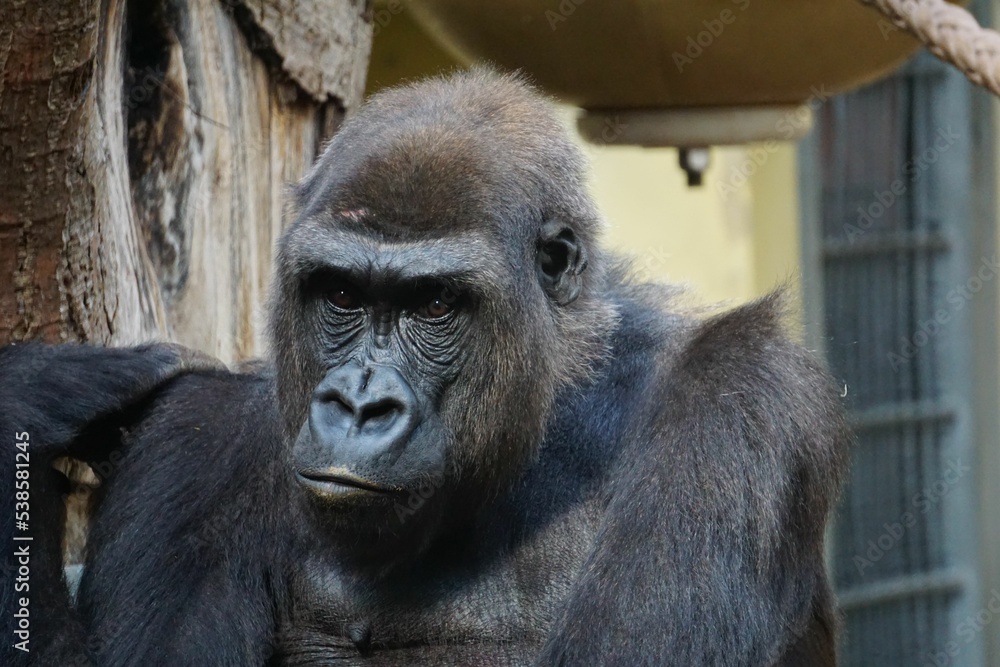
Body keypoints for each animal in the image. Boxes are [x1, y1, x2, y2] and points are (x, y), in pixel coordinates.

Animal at [0, 70, 848, 664]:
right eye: (342, 293)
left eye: (435, 304)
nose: (358, 405)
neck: (555, 405)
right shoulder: (199, 435)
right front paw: (29, 399)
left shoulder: (741, 397)